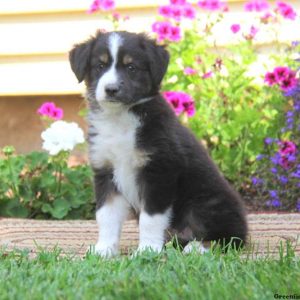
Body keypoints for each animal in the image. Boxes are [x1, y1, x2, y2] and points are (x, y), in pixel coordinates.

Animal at [69, 29, 247, 255]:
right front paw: (104, 249)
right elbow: (106, 215)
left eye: (131, 67)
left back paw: (197, 248)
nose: (111, 89)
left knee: (229, 238)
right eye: (100, 66)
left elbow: (151, 218)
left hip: (205, 204)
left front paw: (147, 250)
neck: (121, 119)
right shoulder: (105, 171)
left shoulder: (159, 171)